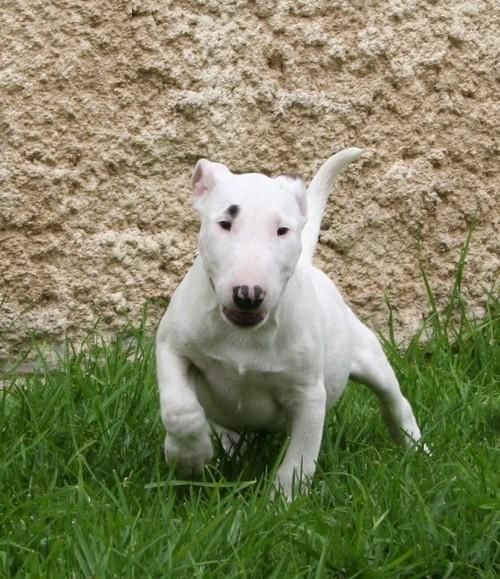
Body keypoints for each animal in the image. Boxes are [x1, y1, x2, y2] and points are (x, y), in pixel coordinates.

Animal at [155, 148, 422, 498]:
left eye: (282, 230)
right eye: (225, 223)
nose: (249, 295)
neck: (244, 335)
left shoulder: (308, 395)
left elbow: (299, 459)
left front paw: (283, 502)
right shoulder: (172, 347)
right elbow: (179, 409)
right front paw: (189, 457)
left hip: (368, 356)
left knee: (395, 401)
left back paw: (417, 450)